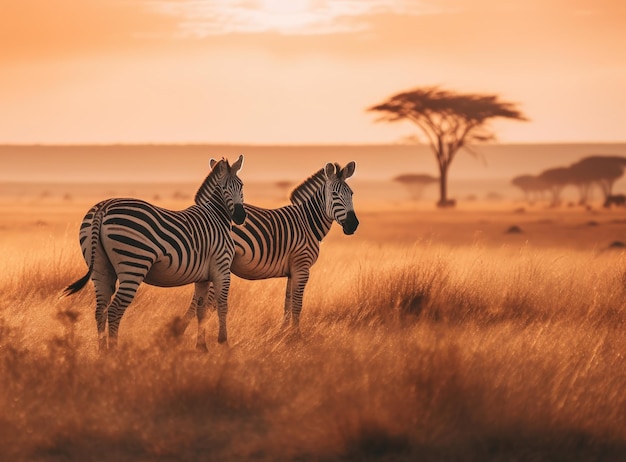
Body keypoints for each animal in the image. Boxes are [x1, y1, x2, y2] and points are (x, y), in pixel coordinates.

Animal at [61, 155, 246, 350]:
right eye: (224, 187)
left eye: (241, 185)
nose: (240, 217)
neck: (216, 216)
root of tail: (102, 209)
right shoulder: (222, 268)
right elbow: (222, 306)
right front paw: (223, 344)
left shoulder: (202, 277)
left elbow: (201, 310)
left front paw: (201, 348)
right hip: (134, 263)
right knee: (114, 310)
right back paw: (114, 352)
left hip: (100, 267)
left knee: (100, 310)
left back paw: (102, 351)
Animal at [179, 161, 356, 334]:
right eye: (335, 195)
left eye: (352, 194)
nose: (353, 224)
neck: (306, 222)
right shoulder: (302, 266)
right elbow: (297, 305)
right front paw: (297, 335)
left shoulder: (292, 270)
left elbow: (288, 302)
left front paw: (283, 333)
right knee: (203, 303)